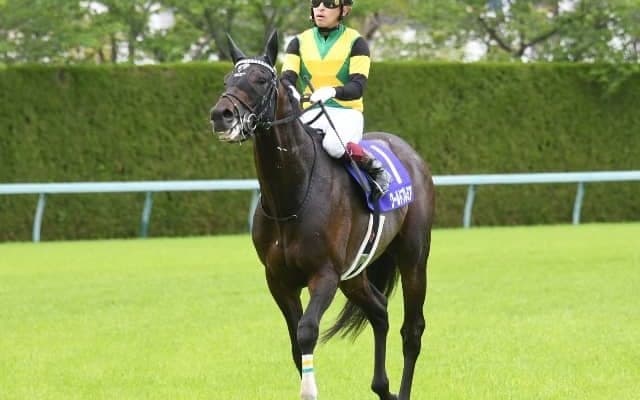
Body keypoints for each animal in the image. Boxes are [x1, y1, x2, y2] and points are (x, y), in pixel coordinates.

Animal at [210, 31, 435, 400]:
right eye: (228, 78)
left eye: (260, 80)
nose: (221, 114)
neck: (290, 198)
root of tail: (408, 152)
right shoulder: (278, 281)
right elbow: (294, 344)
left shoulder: (325, 275)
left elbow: (306, 332)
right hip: (354, 275)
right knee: (379, 311)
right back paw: (382, 388)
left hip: (413, 258)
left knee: (412, 330)